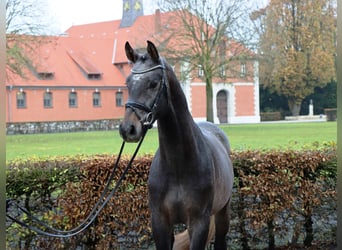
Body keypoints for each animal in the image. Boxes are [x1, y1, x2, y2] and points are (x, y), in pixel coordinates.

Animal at [119, 40, 234, 249]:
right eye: (128, 83)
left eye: (153, 83)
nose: (128, 129)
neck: (178, 164)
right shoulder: (160, 222)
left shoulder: (199, 222)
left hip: (222, 213)